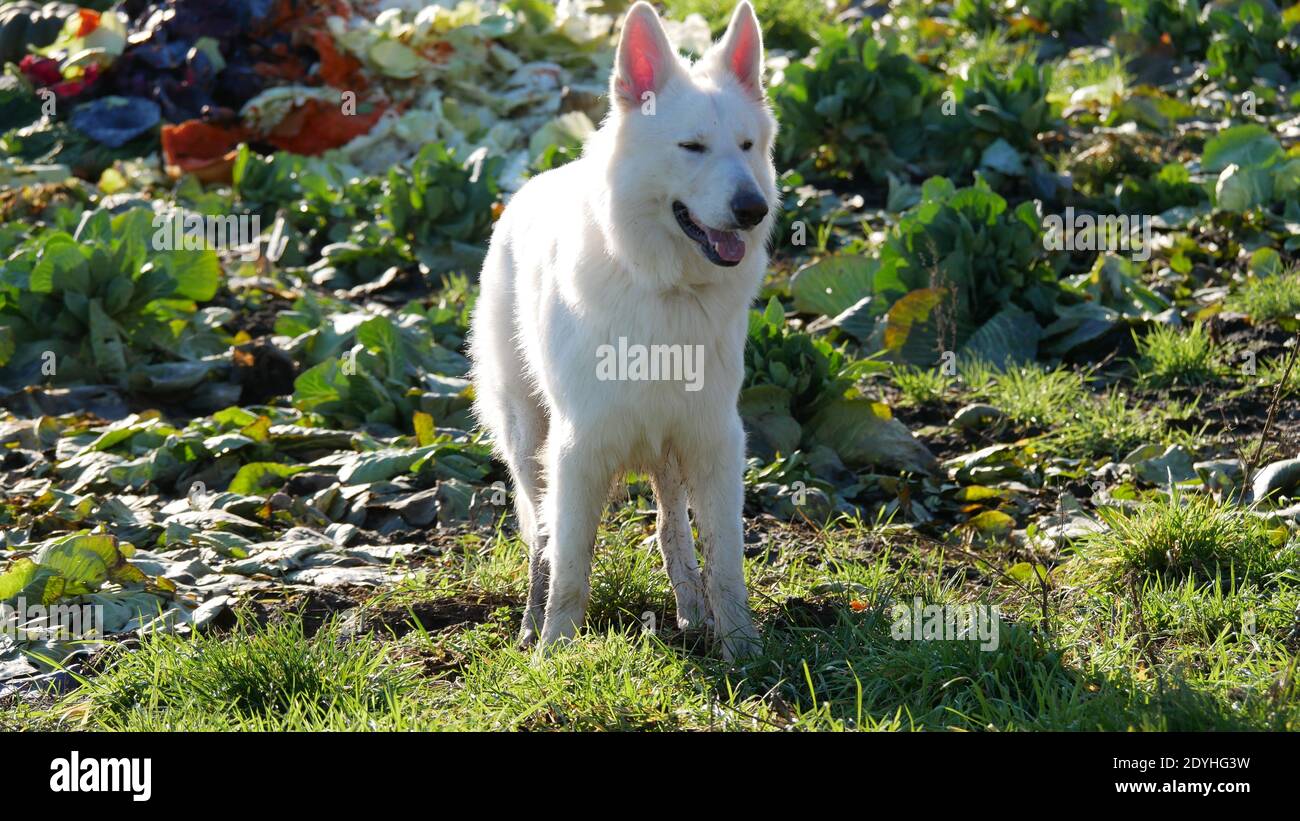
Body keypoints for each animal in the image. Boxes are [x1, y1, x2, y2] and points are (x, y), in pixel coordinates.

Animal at [467, 0, 774, 657]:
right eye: (692, 147)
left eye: (746, 146)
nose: (753, 209)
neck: (665, 288)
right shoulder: (578, 449)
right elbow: (570, 564)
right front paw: (555, 652)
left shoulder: (712, 440)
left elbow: (725, 560)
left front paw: (742, 649)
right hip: (529, 440)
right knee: (541, 539)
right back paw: (531, 626)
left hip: (667, 448)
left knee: (670, 526)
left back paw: (691, 613)